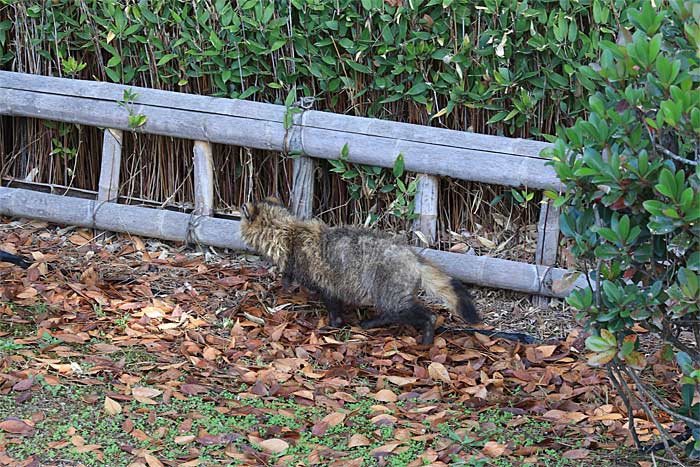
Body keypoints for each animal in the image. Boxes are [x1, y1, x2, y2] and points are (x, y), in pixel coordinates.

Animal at [238, 199, 478, 346]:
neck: (289, 231)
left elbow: (331, 301)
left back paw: (425, 330)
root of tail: (412, 257)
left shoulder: (323, 277)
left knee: (406, 310)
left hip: (390, 285)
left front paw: (333, 323)